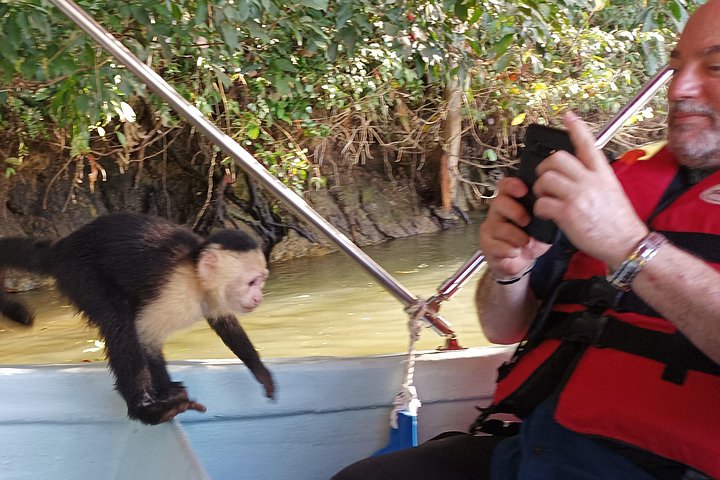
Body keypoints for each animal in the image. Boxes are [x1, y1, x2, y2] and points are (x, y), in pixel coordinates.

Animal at [0, 213, 274, 425]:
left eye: (262, 280)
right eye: (251, 282)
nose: (259, 297)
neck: (197, 277)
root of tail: (63, 245)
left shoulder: (215, 298)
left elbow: (227, 325)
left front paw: (261, 372)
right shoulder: (176, 291)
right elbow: (144, 335)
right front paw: (165, 393)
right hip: (80, 272)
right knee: (118, 321)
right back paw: (147, 410)